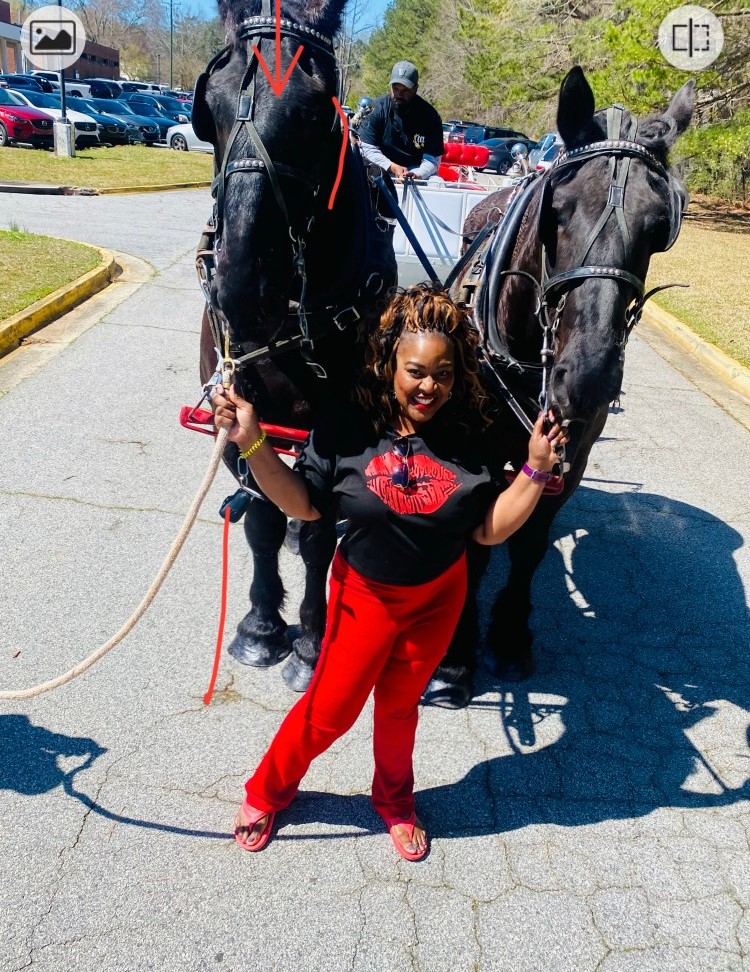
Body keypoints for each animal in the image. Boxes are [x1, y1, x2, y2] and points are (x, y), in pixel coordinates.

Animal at [192, 0, 397, 691]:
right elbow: (262, 517)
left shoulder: (339, 427)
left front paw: (309, 642)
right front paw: (261, 626)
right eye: (210, 106)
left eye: (315, 112)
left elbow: (316, 533)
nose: (239, 286)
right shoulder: (240, 401)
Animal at [422, 66, 695, 707]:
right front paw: (455, 656)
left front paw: (510, 636)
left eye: (658, 228)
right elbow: (472, 546)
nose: (589, 376)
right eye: (559, 211)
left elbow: (529, 543)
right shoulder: (470, 447)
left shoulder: (569, 452)